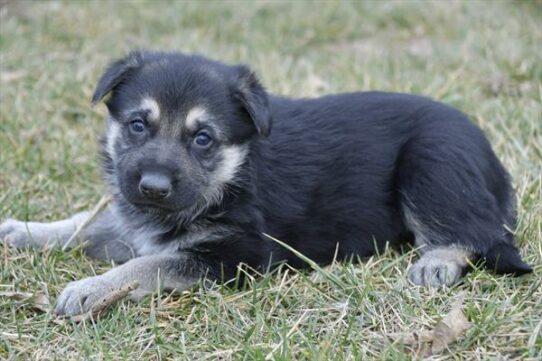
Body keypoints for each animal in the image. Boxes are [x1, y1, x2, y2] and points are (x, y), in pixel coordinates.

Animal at [1, 51, 536, 316]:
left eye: (202, 138)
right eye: (137, 125)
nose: (152, 187)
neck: (232, 172)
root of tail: (491, 156)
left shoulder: (235, 253)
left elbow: (148, 264)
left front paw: (91, 288)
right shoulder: (135, 221)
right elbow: (86, 224)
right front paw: (25, 230)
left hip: (433, 163)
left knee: (475, 234)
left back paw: (436, 263)